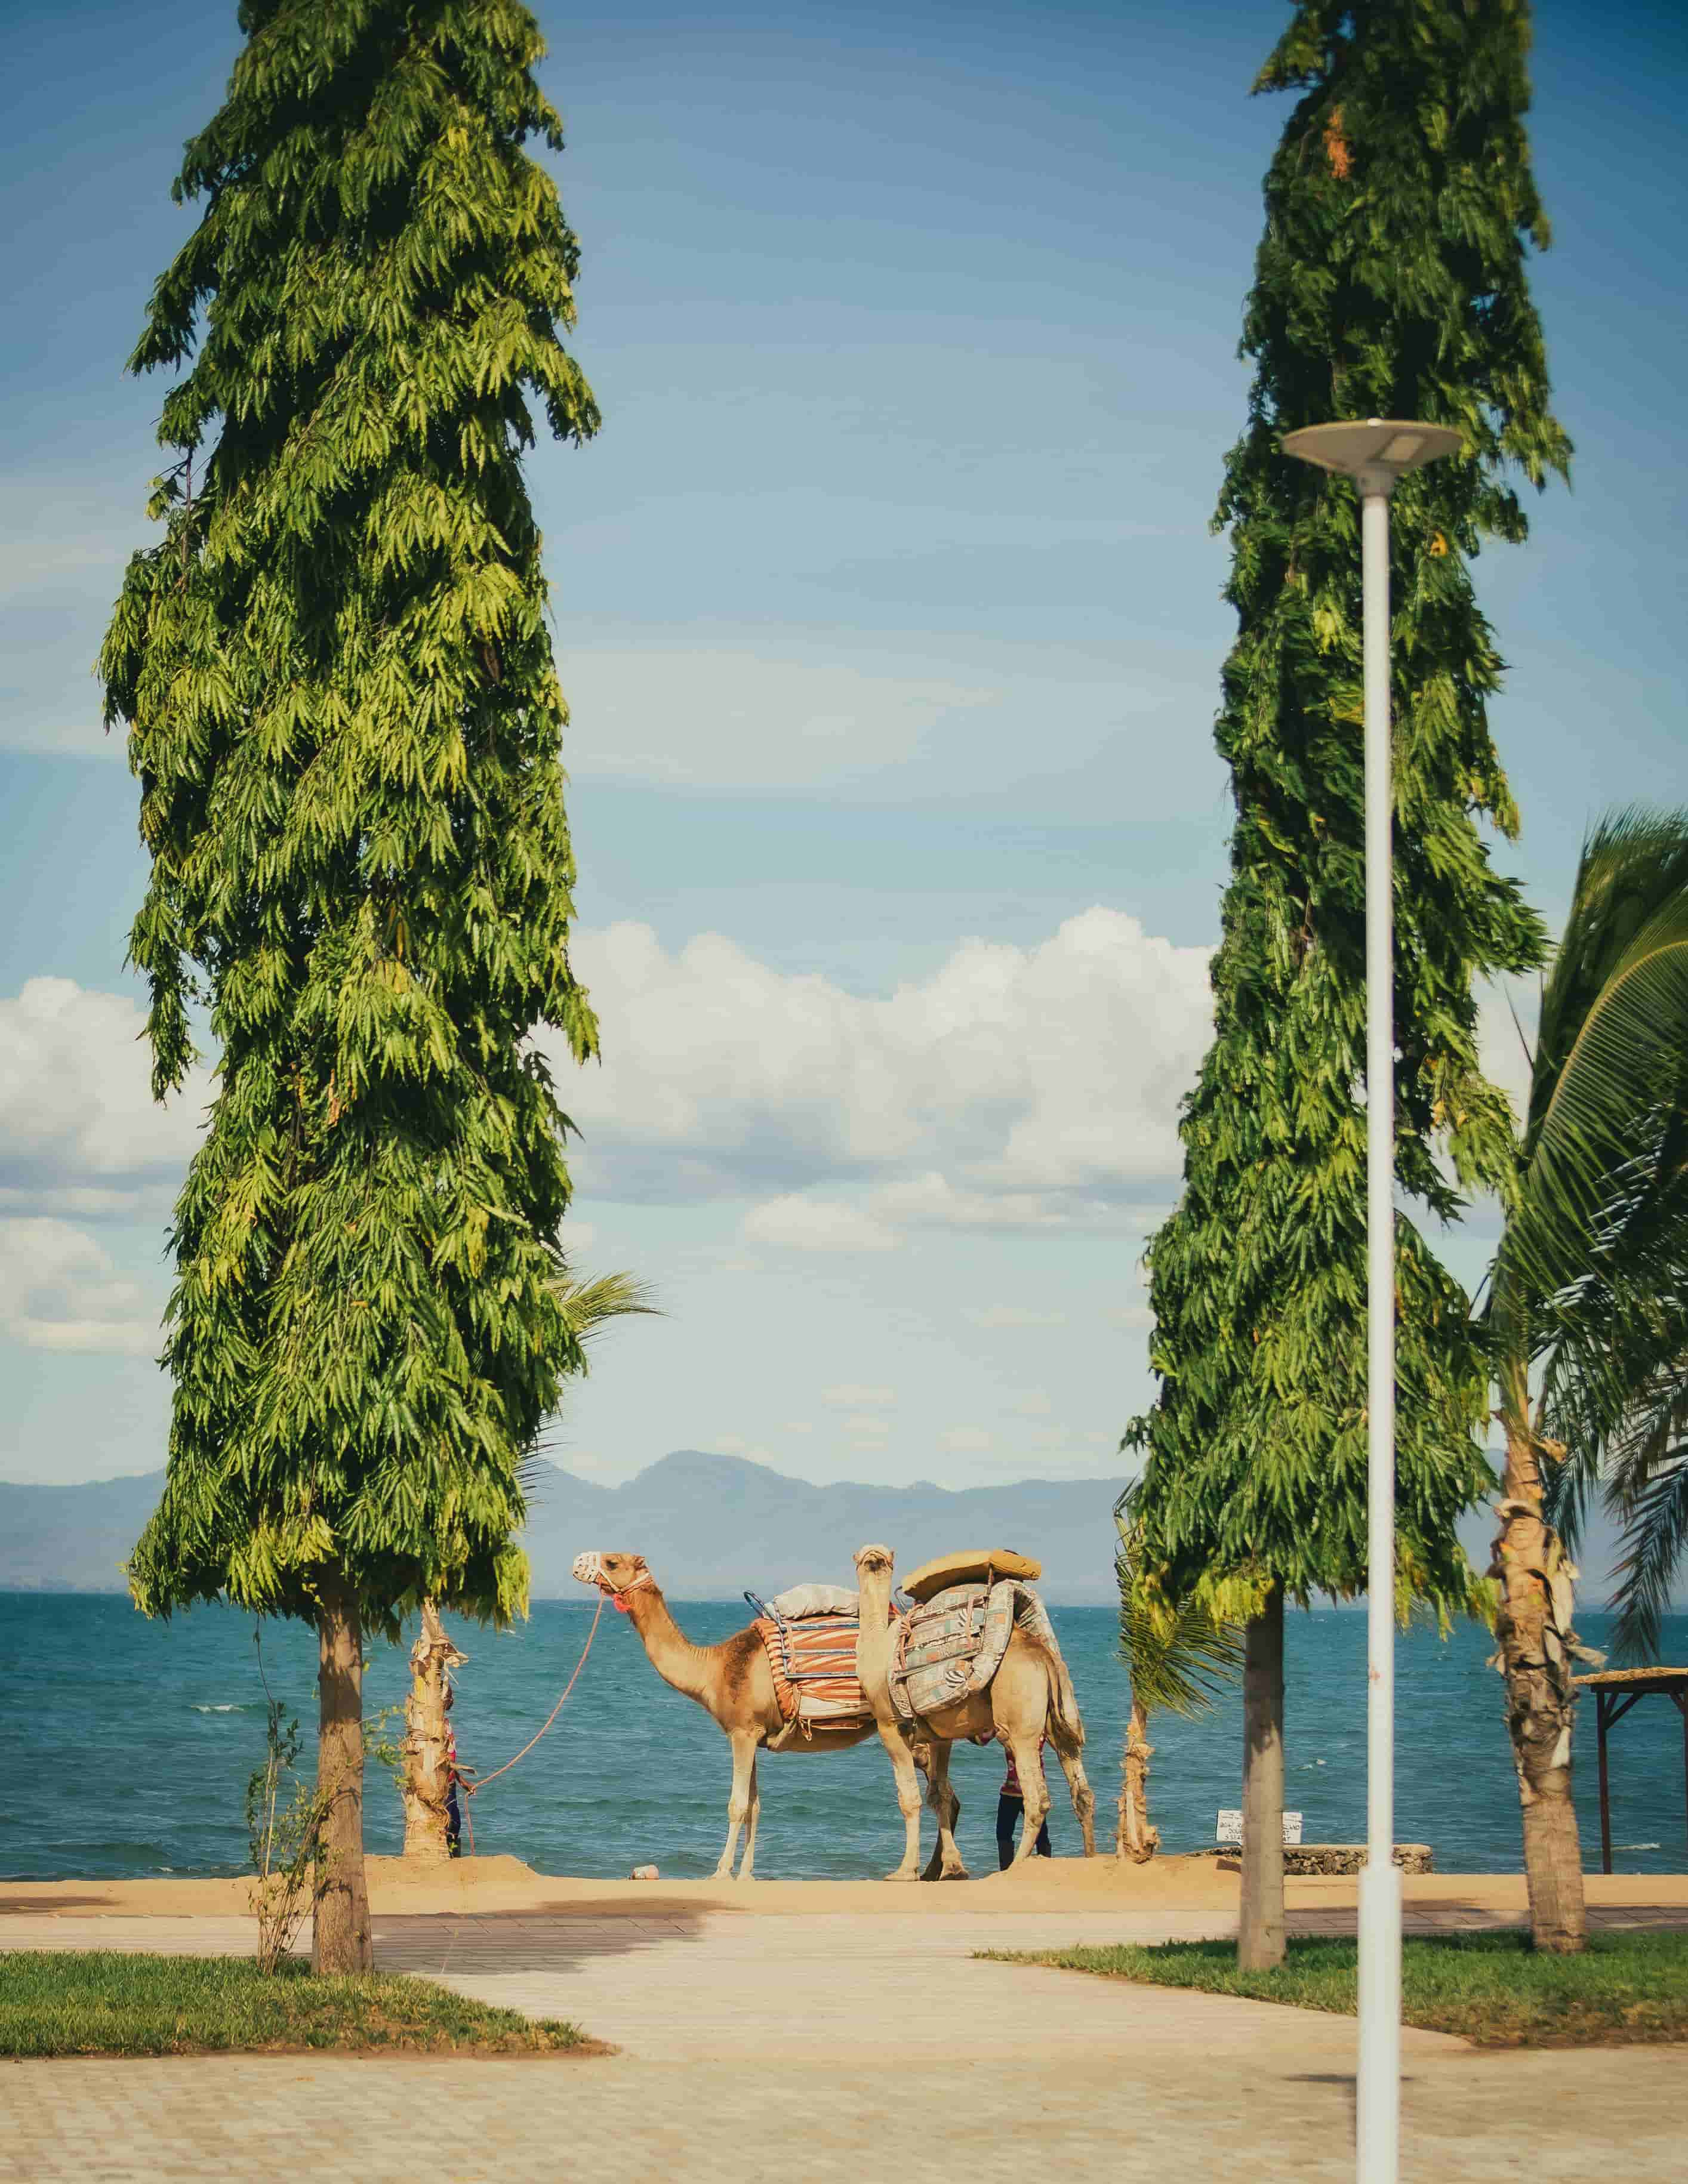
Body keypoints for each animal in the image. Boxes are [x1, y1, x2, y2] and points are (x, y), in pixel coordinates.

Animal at [568, 1546, 921, 1887]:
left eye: (613, 1562)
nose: (576, 1562)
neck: (712, 1669)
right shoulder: (753, 1733)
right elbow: (755, 1806)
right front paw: (747, 1874)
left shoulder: (742, 1732)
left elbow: (737, 1806)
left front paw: (722, 1872)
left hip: (891, 1719)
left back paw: (907, 1871)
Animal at [851, 1537, 1100, 1878]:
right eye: (862, 1555)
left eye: (885, 1554)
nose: (874, 1554)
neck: (875, 1651)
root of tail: (1044, 1656)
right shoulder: (939, 1736)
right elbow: (940, 1795)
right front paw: (952, 1869)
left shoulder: (890, 1725)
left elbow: (910, 1799)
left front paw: (905, 1872)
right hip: (1059, 1715)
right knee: (1080, 1784)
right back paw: (1090, 1858)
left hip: (1020, 1720)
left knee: (1037, 1797)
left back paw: (1016, 1867)